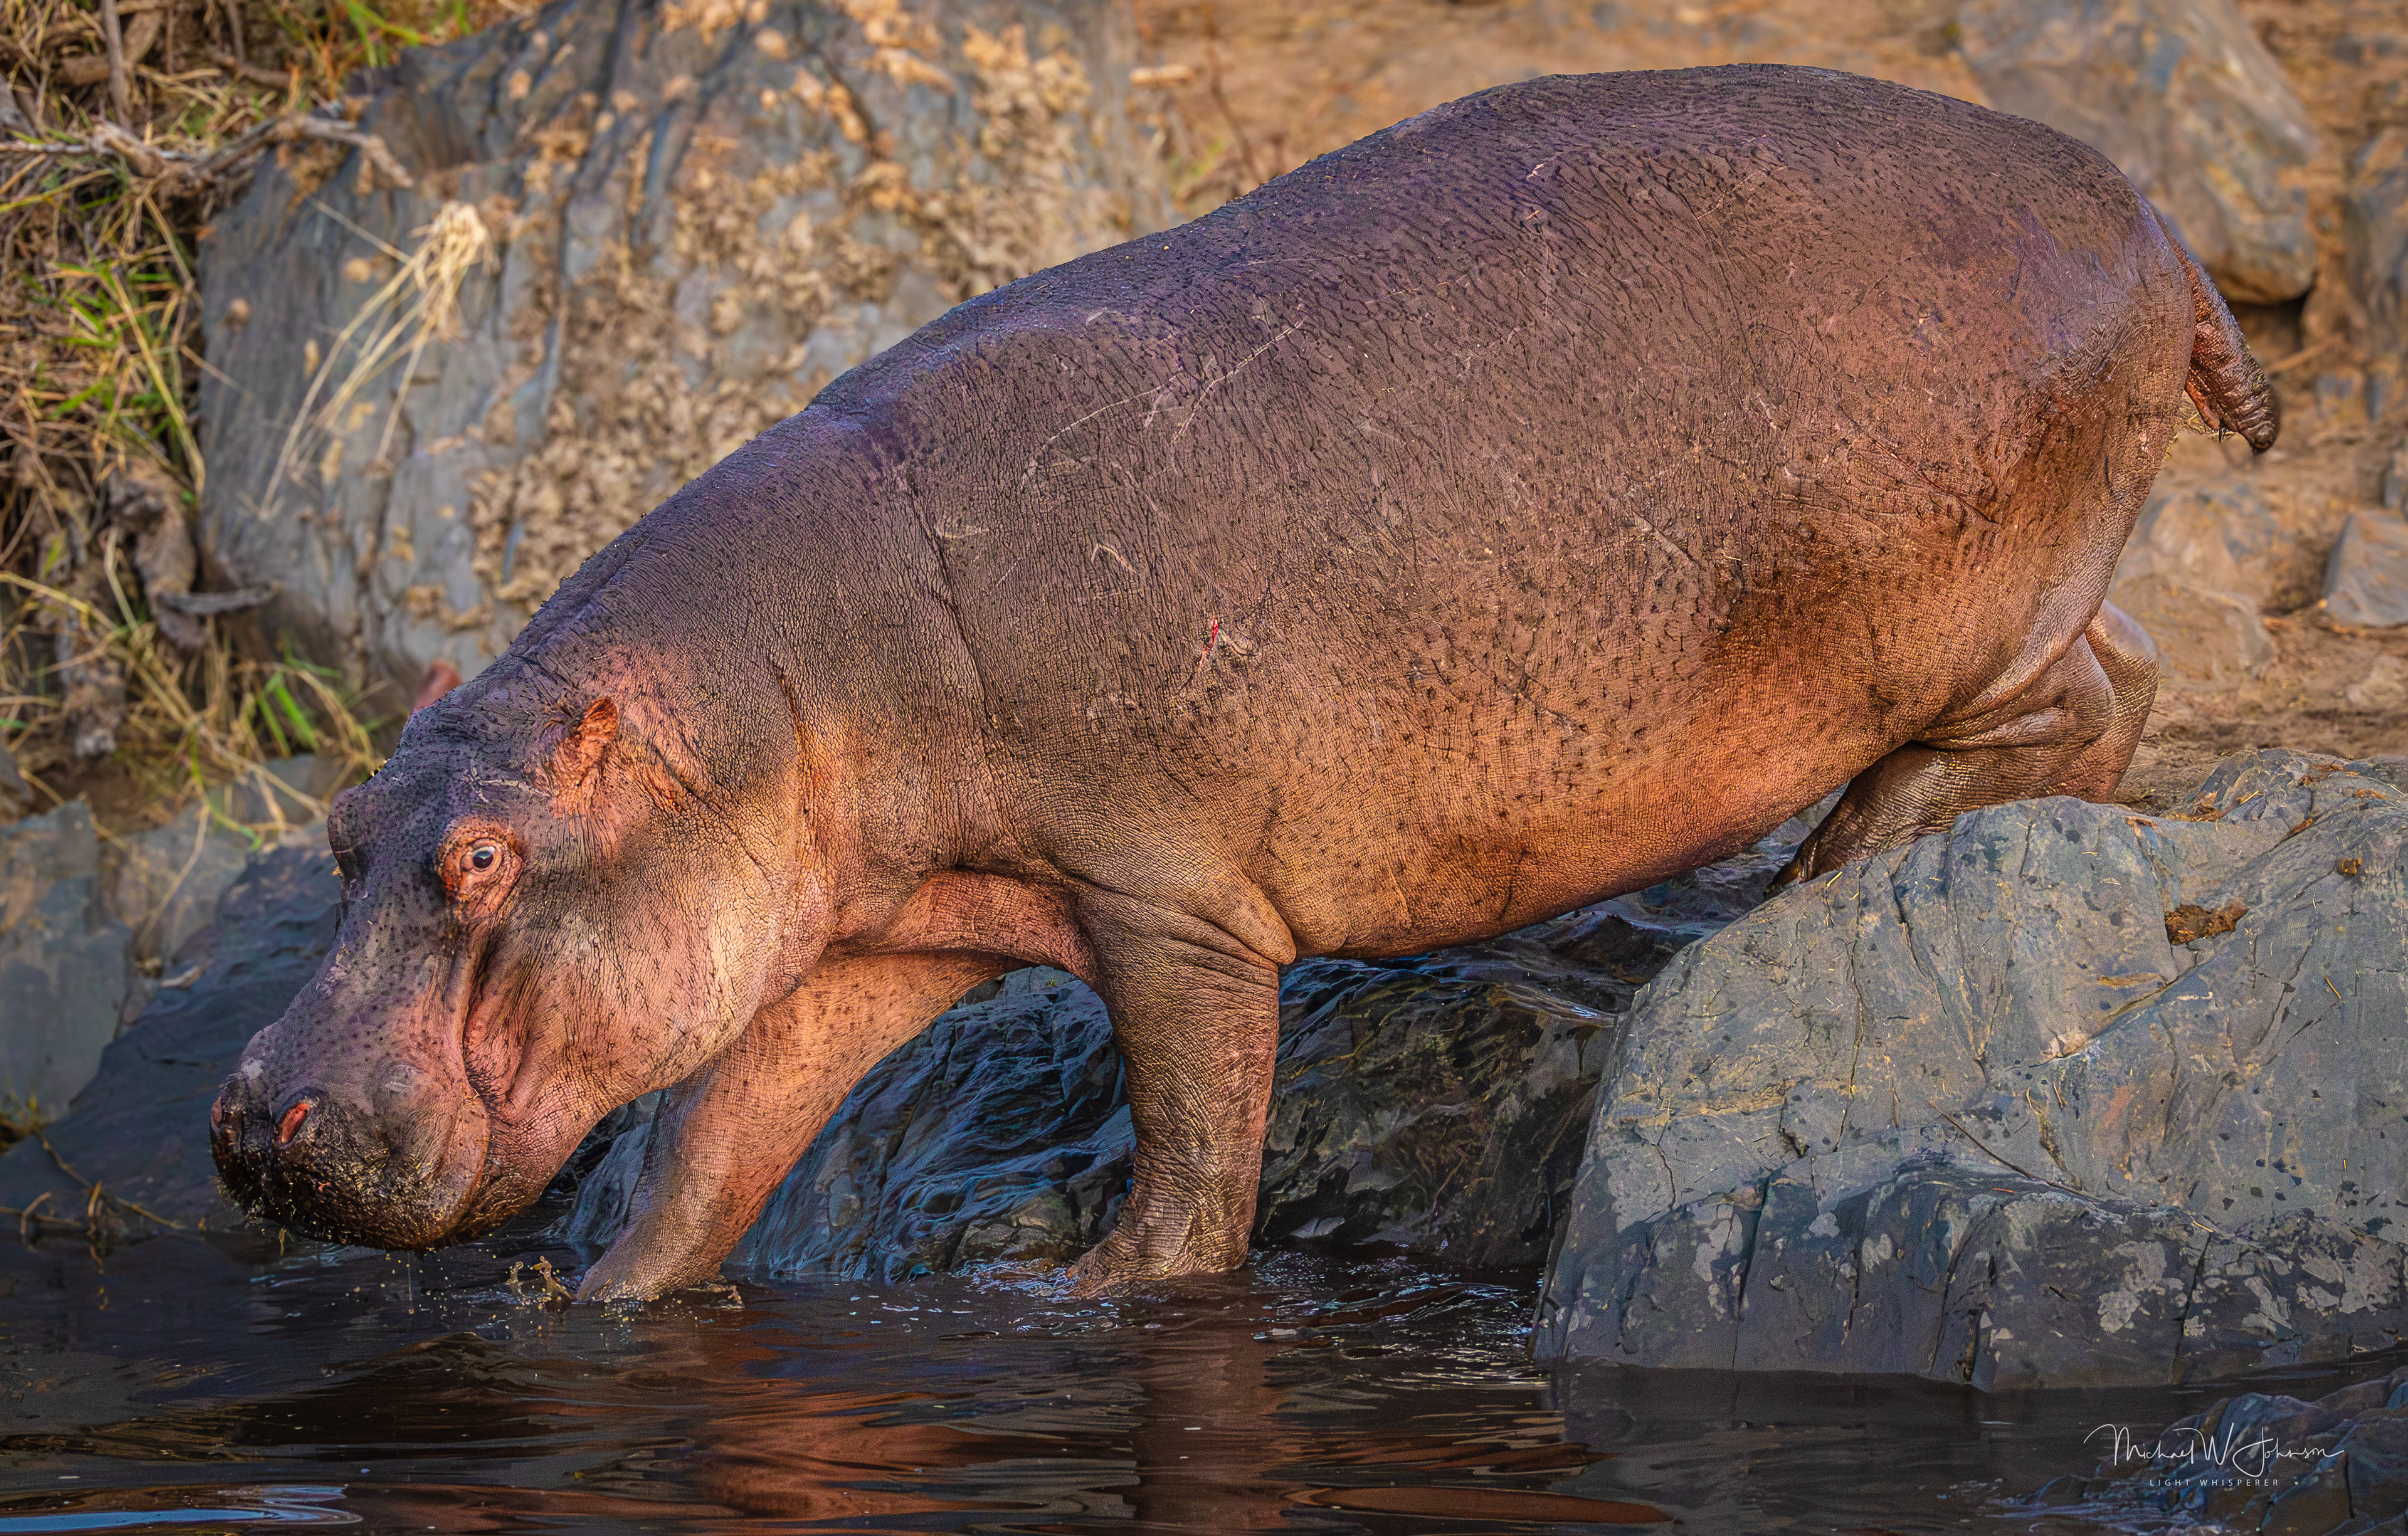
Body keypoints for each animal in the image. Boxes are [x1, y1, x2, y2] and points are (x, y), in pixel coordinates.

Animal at [212, 64, 2276, 1299]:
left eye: (481, 863)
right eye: (336, 830)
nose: (253, 1114)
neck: (768, 700)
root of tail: (2160, 228)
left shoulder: (1167, 897)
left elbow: (1197, 1144)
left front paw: (1083, 1294)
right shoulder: (859, 933)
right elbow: (715, 1144)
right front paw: (592, 1300)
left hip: (1958, 618)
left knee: (2075, 709)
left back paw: (1829, 870)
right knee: (2125, 671)